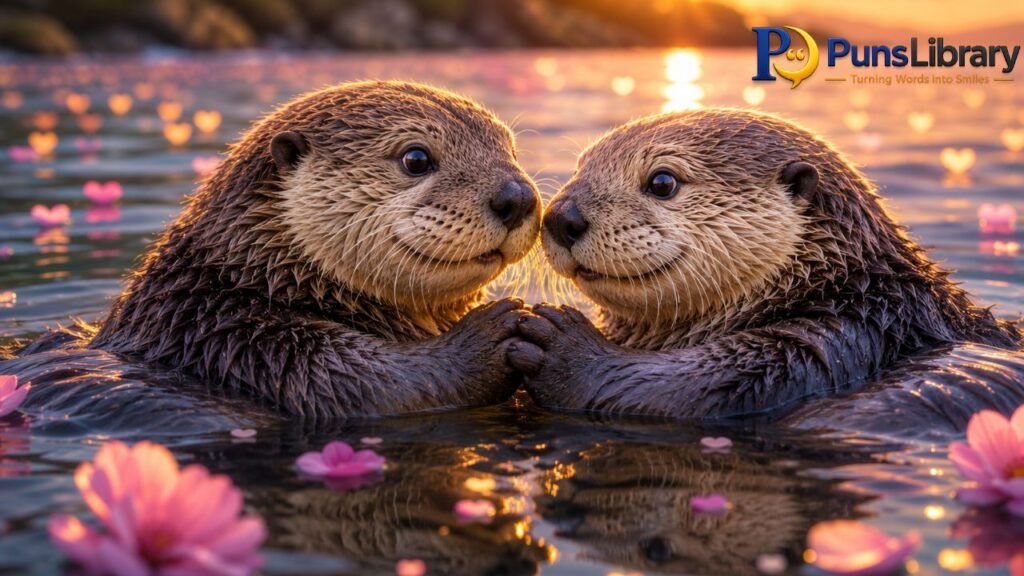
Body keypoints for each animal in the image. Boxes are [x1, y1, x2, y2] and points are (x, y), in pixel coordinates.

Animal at [10, 81, 541, 420]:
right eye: (416, 158)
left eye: (513, 151)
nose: (517, 196)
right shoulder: (246, 346)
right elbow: (374, 385)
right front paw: (495, 331)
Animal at [508, 108, 1024, 432]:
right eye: (580, 166)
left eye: (662, 182)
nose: (563, 216)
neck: (844, 286)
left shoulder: (839, 337)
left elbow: (696, 385)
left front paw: (560, 345)